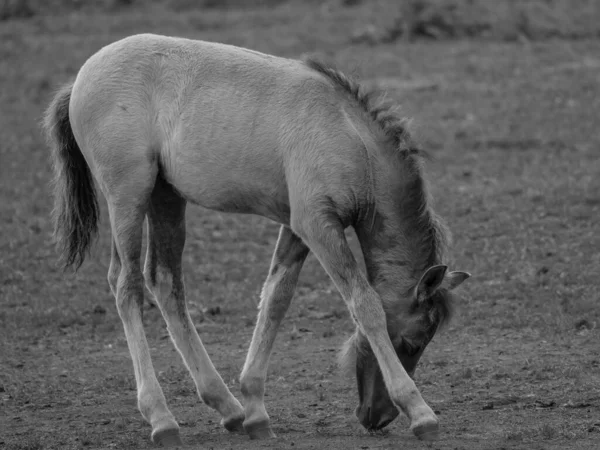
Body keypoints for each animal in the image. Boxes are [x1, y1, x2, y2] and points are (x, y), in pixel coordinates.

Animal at [44, 34, 472, 446]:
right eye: (414, 343)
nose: (376, 418)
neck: (348, 134)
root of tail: (79, 80)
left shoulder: (299, 227)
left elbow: (276, 300)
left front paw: (255, 409)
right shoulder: (317, 224)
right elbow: (365, 305)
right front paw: (420, 411)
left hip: (165, 197)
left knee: (164, 282)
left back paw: (227, 406)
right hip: (128, 197)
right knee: (127, 286)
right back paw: (161, 418)